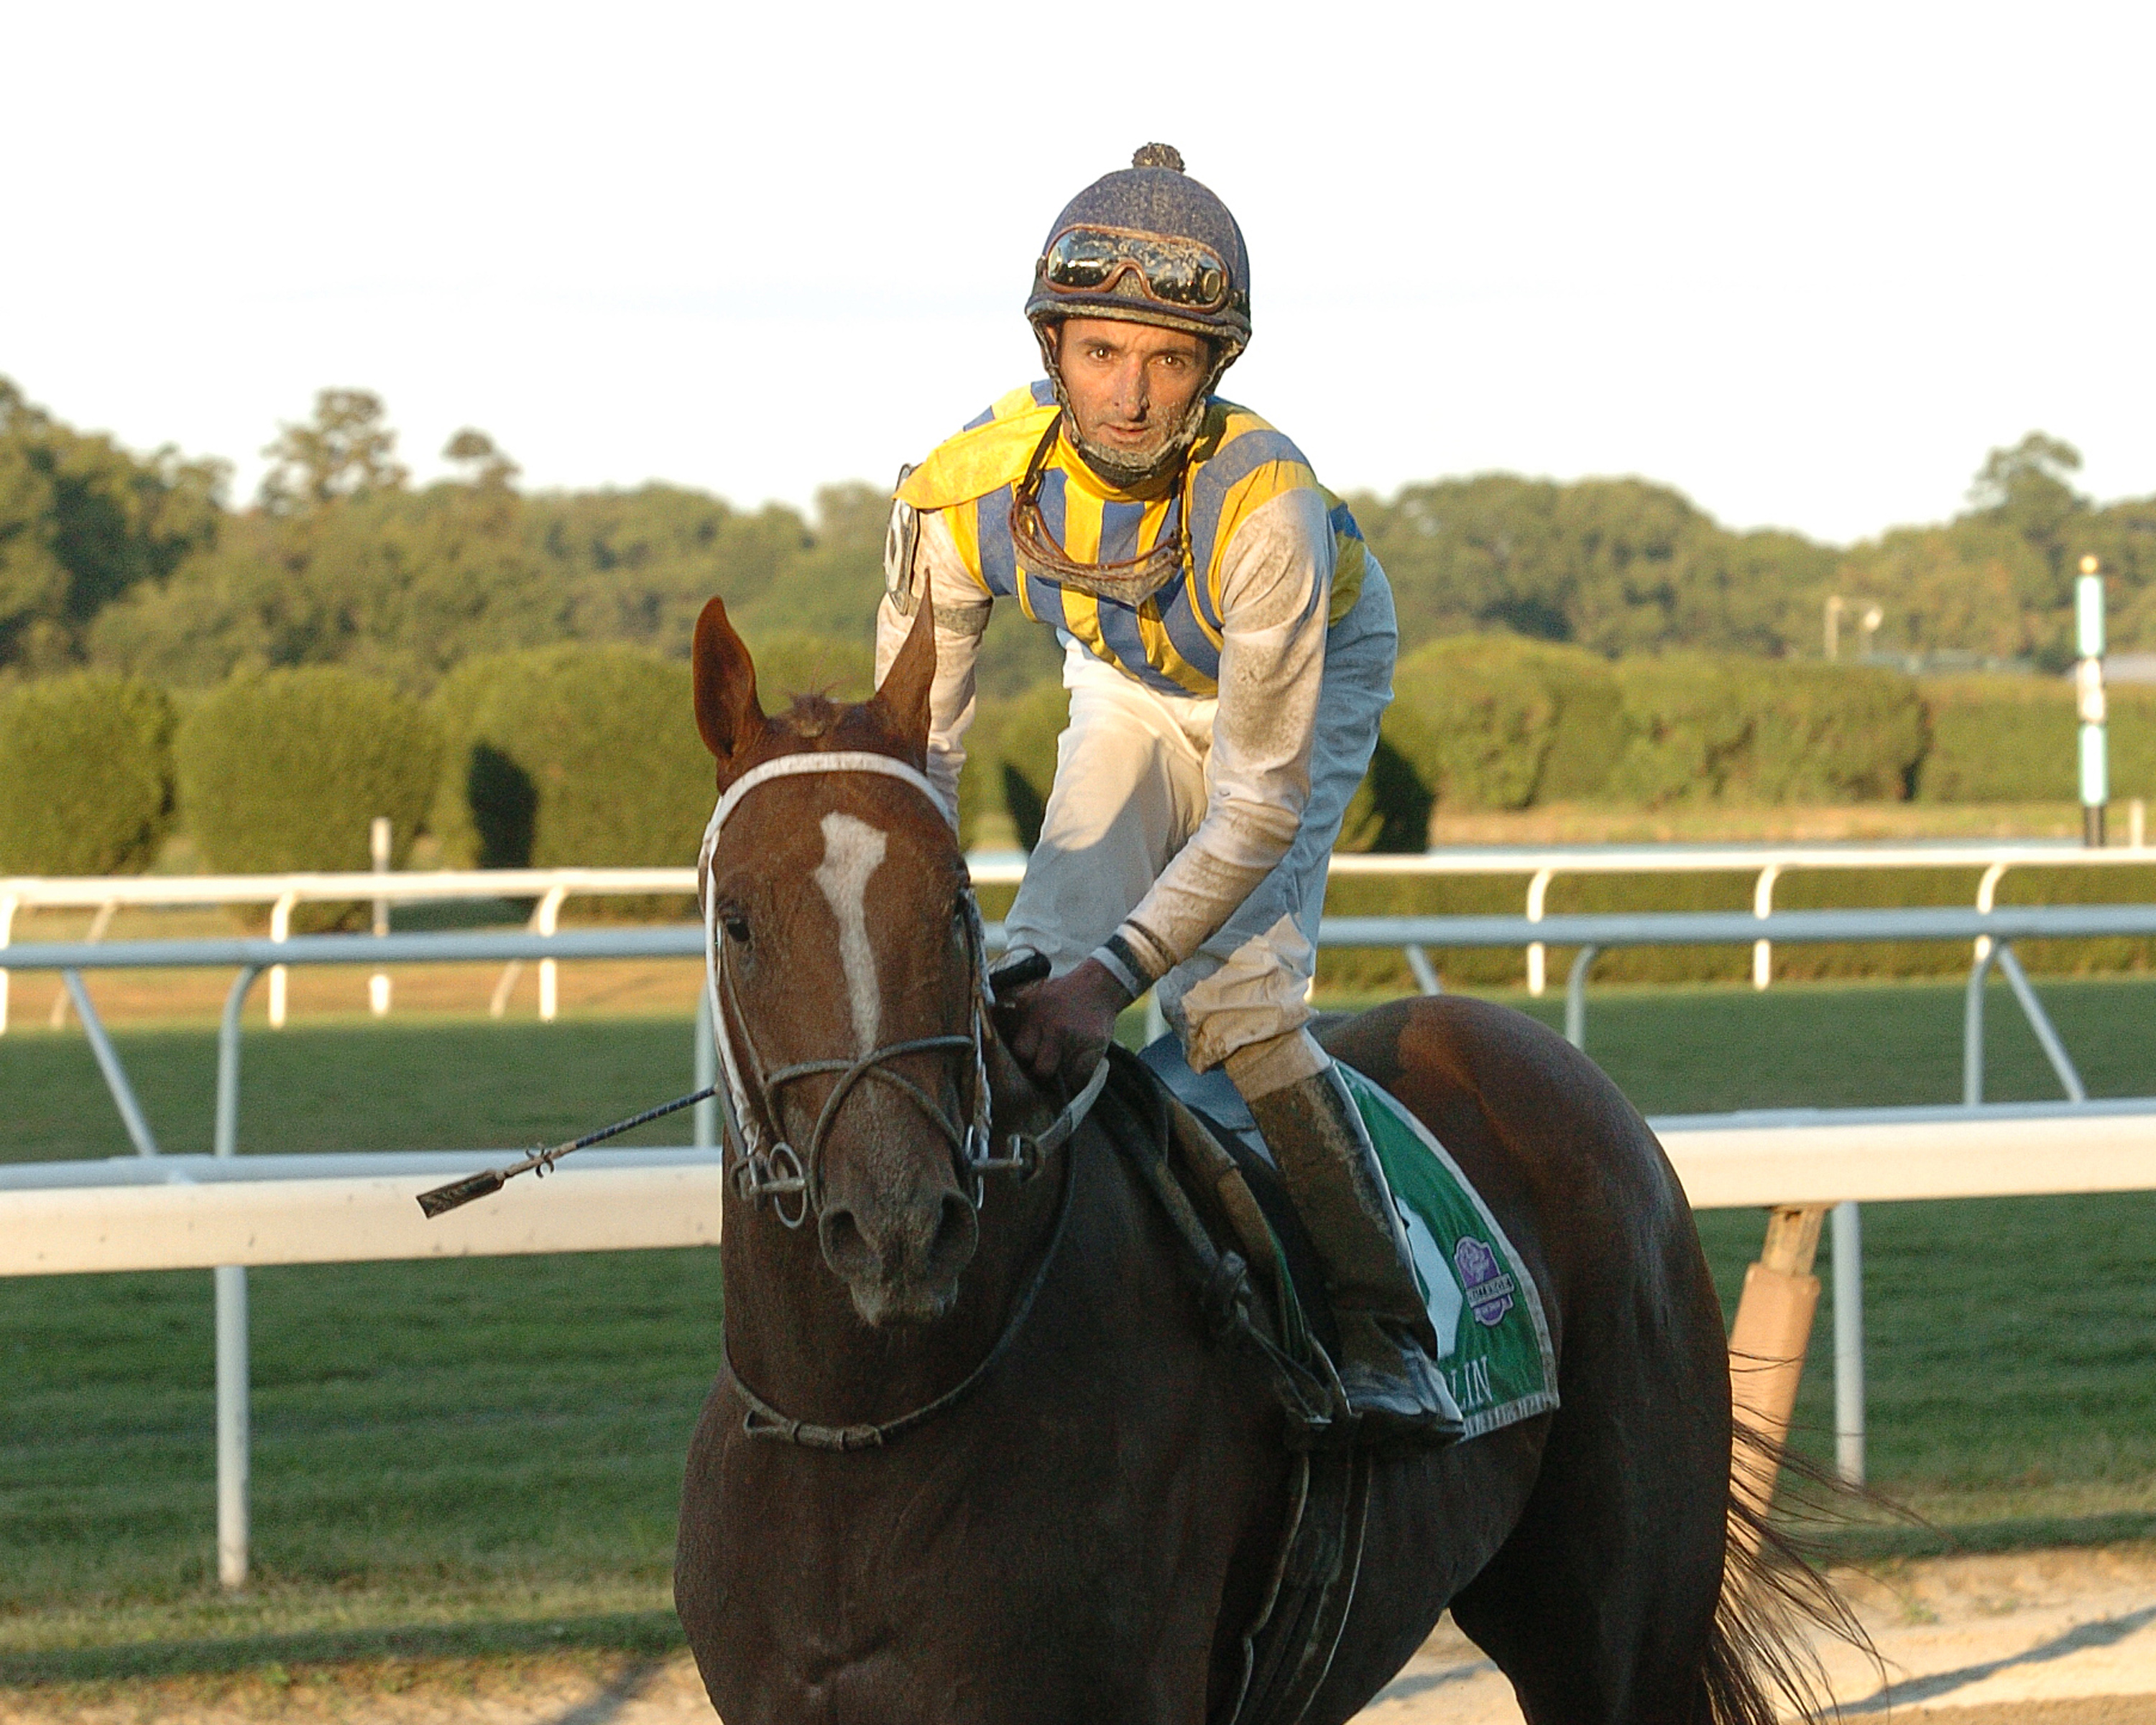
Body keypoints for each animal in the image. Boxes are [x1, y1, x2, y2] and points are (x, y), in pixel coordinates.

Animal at [668, 595, 1837, 1725]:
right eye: (738, 924)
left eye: (955, 905)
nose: (902, 1224)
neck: (865, 1430)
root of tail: (1562, 1065)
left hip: (1619, 1635)